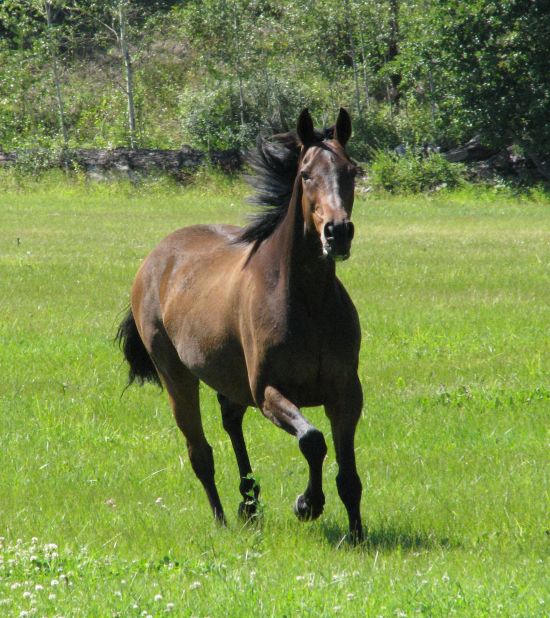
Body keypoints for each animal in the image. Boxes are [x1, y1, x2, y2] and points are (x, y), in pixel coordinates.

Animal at [117, 108, 366, 540]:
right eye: (305, 174)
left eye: (351, 170)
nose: (337, 233)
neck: (307, 302)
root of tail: (154, 259)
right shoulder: (268, 392)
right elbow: (313, 440)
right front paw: (307, 504)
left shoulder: (346, 392)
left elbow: (348, 473)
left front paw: (356, 533)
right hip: (176, 377)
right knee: (200, 452)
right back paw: (221, 518)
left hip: (227, 378)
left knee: (231, 424)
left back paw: (249, 504)